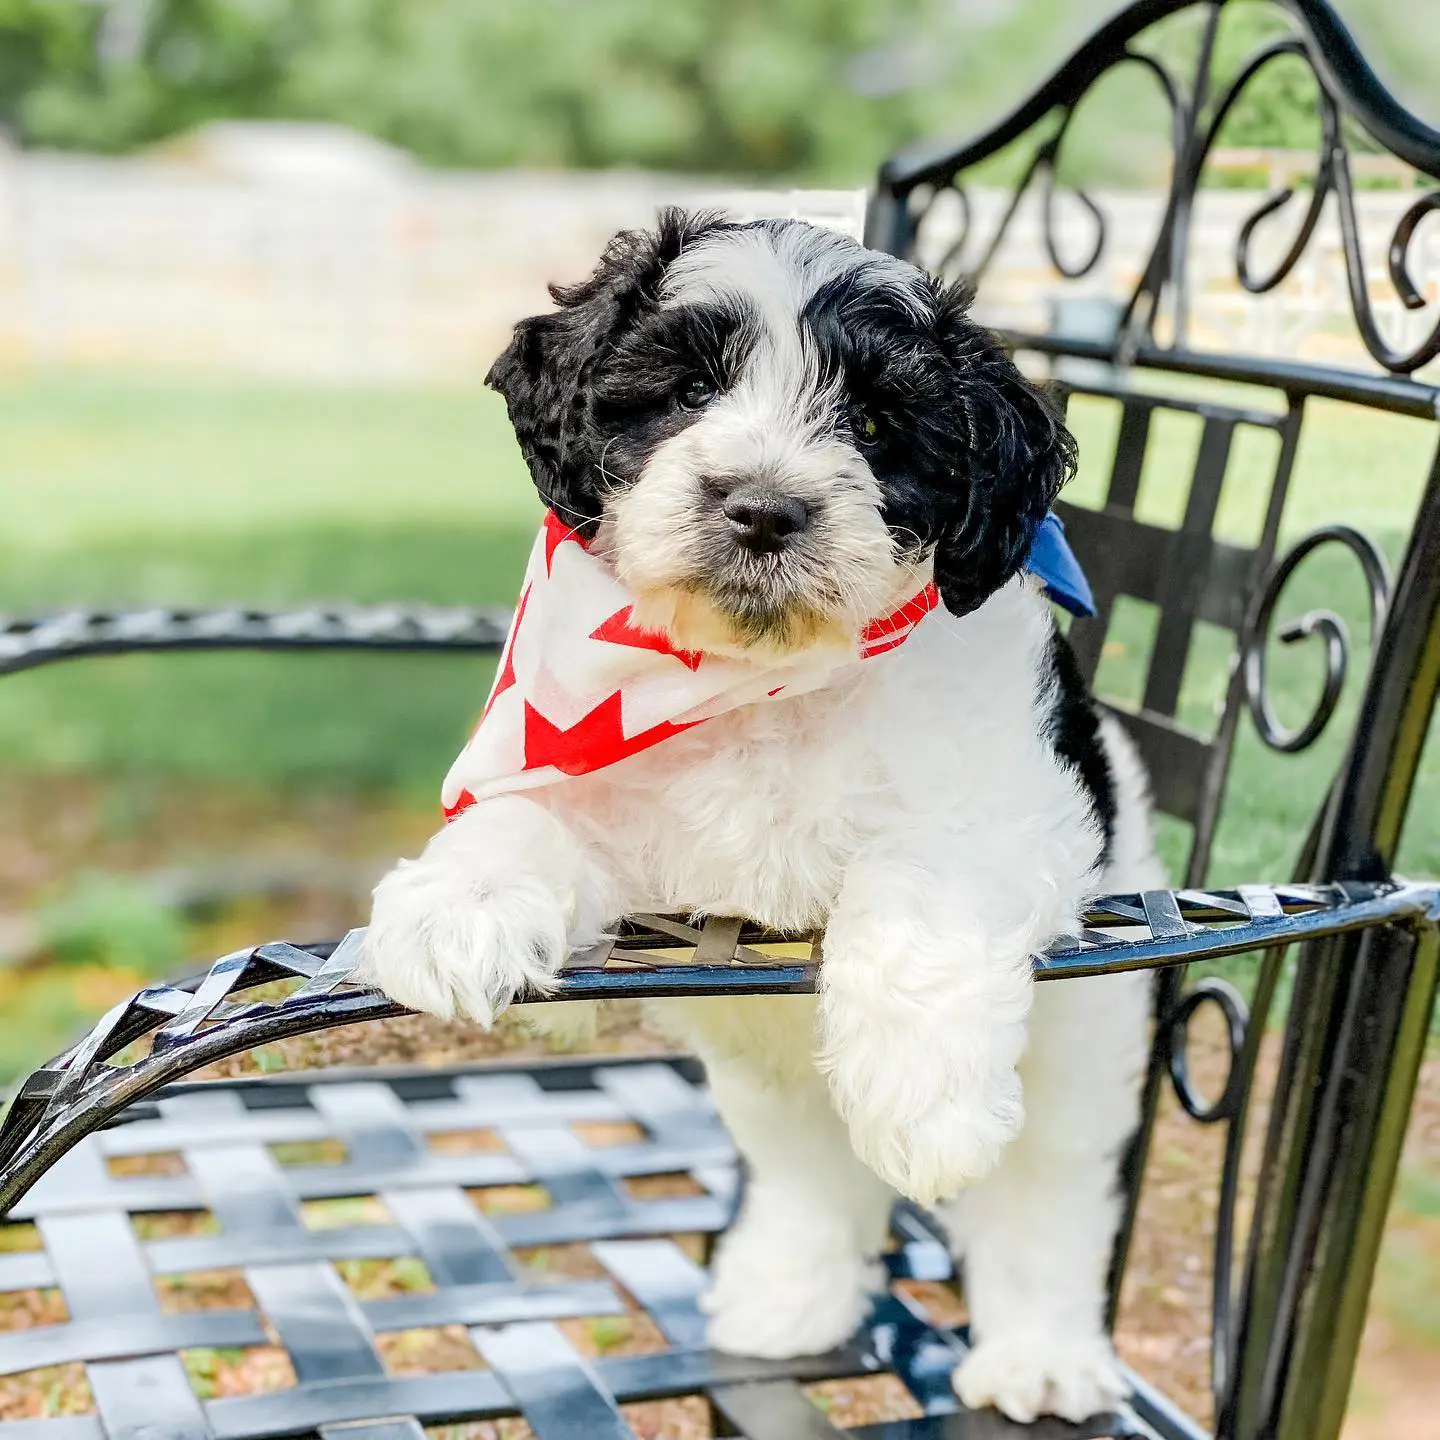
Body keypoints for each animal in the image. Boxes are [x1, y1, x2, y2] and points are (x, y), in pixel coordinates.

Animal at [365, 208, 1163, 1422]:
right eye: (690, 389)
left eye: (876, 423)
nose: (763, 507)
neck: (765, 685)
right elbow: (527, 818)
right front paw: (456, 908)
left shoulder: (1019, 813)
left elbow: (918, 890)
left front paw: (921, 1094)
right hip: (771, 1080)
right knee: (807, 1173)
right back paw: (787, 1299)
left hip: (1085, 1045)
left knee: (1051, 1194)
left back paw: (1039, 1355)